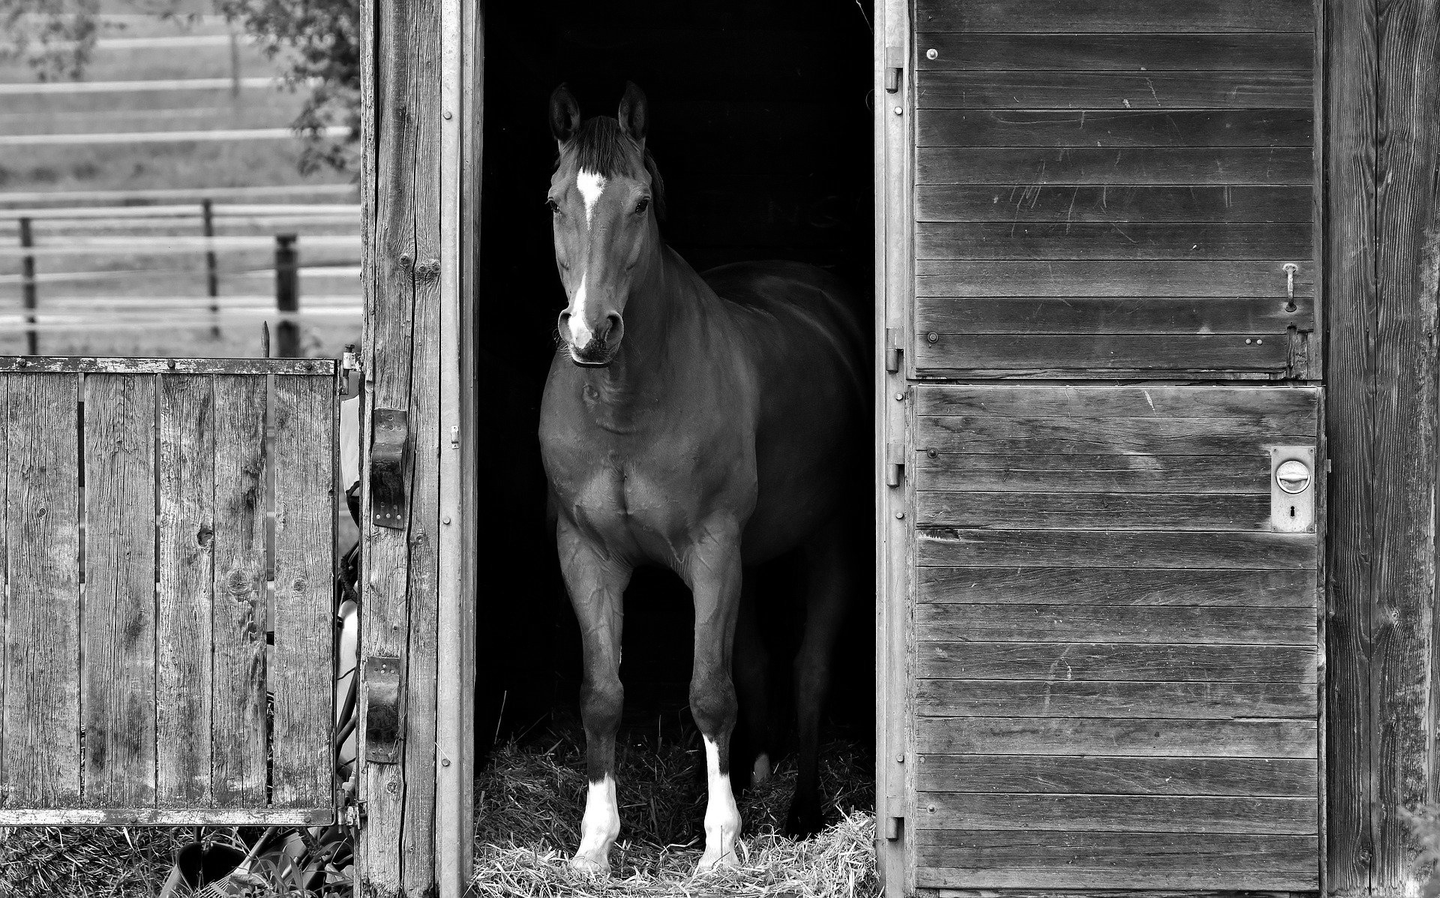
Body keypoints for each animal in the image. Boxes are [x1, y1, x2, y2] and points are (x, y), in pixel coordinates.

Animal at [537, 81, 866, 874]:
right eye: (554, 201)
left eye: (640, 203)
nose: (591, 333)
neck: (625, 403)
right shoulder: (587, 554)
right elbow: (602, 694)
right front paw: (594, 844)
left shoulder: (714, 550)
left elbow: (711, 693)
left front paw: (721, 845)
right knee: (758, 662)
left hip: (828, 542)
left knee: (808, 669)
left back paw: (802, 810)